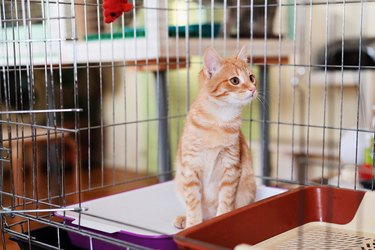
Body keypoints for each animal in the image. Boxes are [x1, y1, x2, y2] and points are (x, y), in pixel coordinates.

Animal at [174, 47, 258, 229]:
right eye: (235, 80)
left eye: (251, 77)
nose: (253, 89)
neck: (218, 122)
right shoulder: (191, 167)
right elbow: (193, 203)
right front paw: (192, 224)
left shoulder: (231, 166)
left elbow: (226, 201)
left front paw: (222, 219)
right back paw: (184, 219)